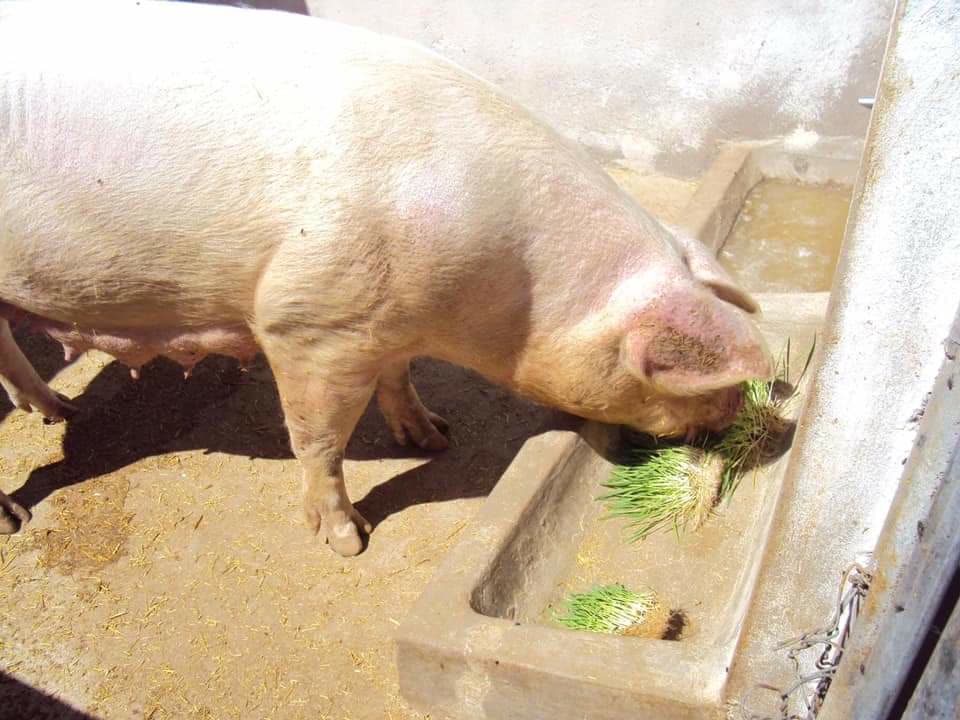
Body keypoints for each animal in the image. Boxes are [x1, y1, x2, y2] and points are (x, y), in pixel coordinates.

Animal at [0, 1, 770, 556]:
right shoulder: (307, 322)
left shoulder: (388, 320)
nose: (740, 415)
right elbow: (318, 440)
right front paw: (348, 542)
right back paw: (14, 519)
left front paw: (435, 437)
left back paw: (59, 413)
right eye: (679, 372)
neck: (505, 293)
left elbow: (400, 378)